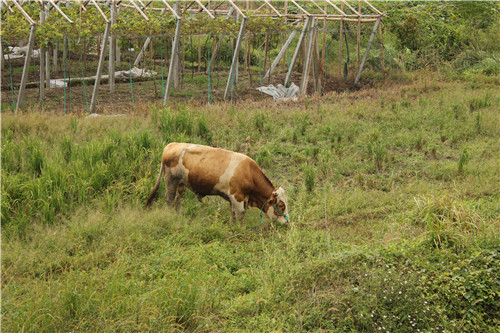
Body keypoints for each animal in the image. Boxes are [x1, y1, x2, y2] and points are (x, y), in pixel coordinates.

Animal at [145, 141, 290, 224]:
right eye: (281, 206)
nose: (286, 222)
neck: (248, 173)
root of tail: (172, 145)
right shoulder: (237, 197)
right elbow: (240, 214)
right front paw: (240, 230)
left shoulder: (234, 198)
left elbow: (232, 213)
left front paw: (232, 226)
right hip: (171, 181)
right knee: (169, 199)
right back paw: (171, 216)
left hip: (181, 184)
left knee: (178, 199)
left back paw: (179, 215)